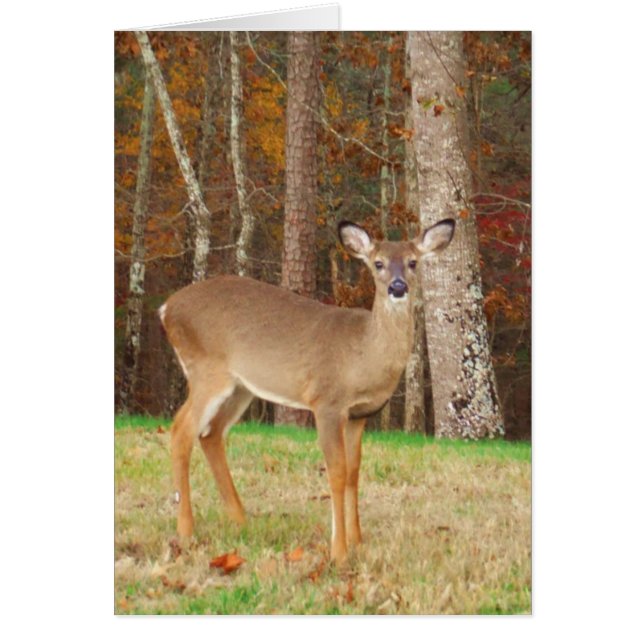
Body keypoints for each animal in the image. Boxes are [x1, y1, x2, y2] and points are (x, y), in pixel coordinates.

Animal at [159, 218, 455, 563]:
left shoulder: (359, 414)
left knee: (211, 434)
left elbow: (354, 472)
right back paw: (186, 530)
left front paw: (358, 541)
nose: (397, 287)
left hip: (241, 386)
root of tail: (166, 308)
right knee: (181, 429)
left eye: (413, 262)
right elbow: (336, 472)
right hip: (207, 370)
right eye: (378, 263)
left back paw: (241, 521)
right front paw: (339, 551)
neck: (363, 355)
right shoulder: (326, 401)